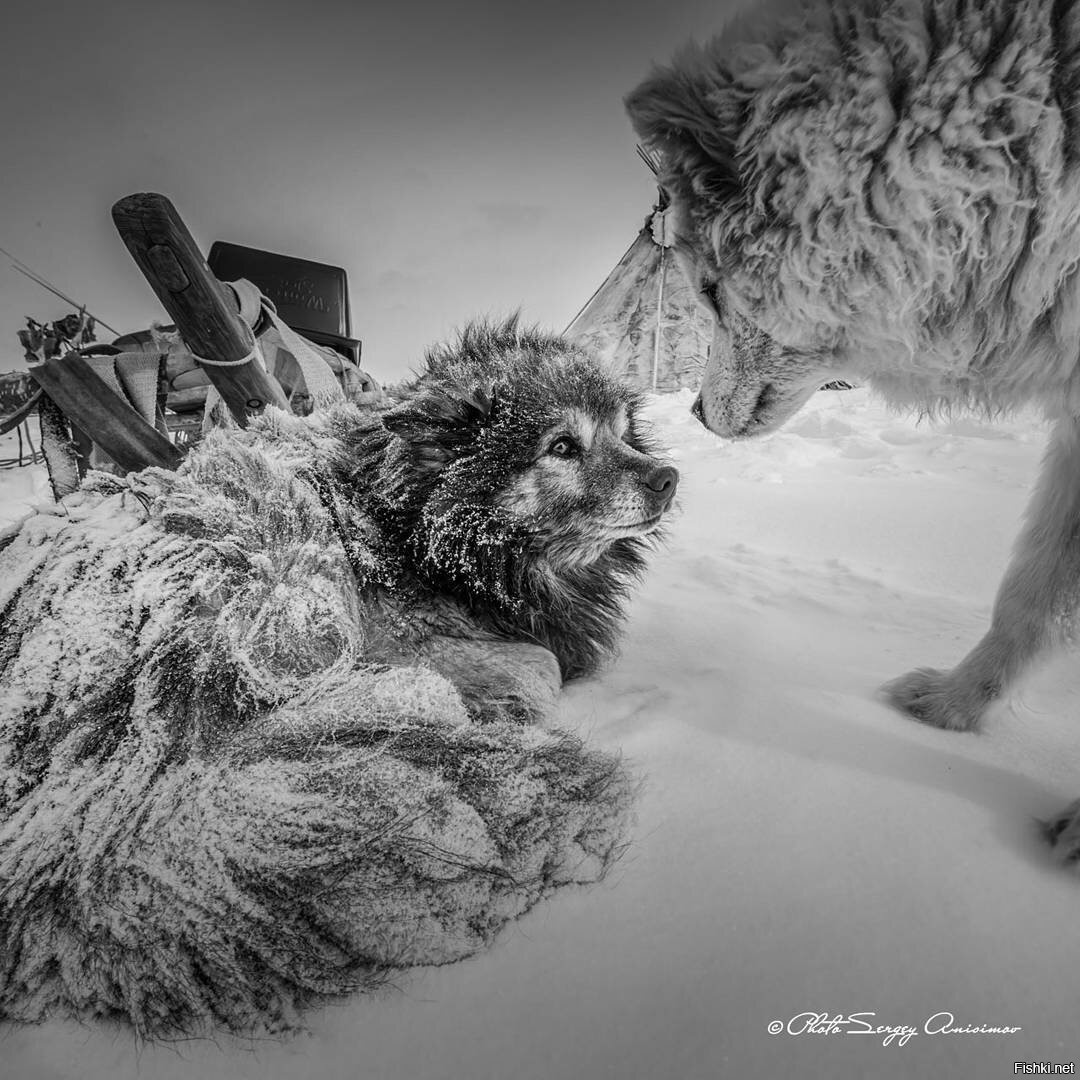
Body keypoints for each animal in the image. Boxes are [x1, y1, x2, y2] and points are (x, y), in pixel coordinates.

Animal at [0, 315, 673, 1032]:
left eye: (623, 432)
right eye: (562, 446)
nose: (667, 477)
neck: (410, 517)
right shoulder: (394, 628)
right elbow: (540, 666)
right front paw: (504, 699)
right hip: (279, 556)